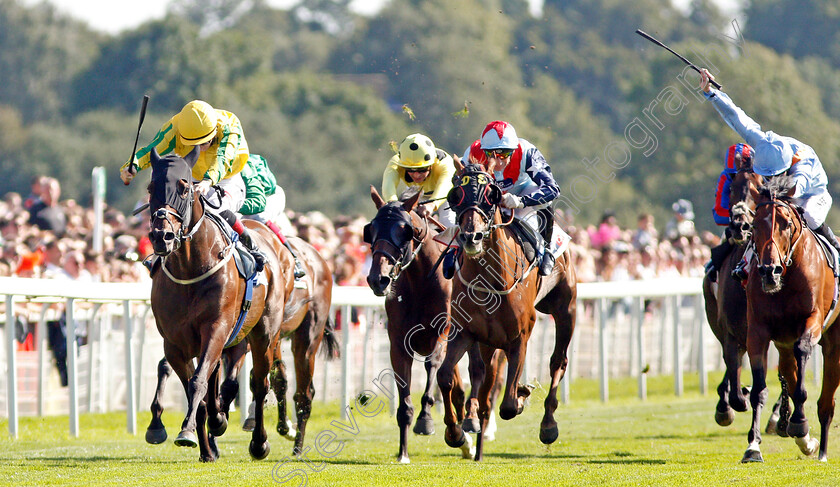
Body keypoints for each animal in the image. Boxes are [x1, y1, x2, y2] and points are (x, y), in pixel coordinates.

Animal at [146, 149, 336, 462]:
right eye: (151, 188)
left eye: (184, 188)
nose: (162, 236)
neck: (191, 269)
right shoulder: (174, 341)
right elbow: (190, 380)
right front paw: (198, 438)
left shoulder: (219, 328)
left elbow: (202, 381)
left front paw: (191, 431)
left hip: (287, 333)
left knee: (271, 384)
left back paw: (270, 442)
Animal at [364, 188, 482, 466]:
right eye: (371, 229)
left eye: (404, 230)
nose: (378, 279)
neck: (420, 281)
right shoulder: (398, 344)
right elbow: (405, 398)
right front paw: (403, 452)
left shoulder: (442, 333)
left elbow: (433, 372)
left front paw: (426, 421)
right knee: (456, 387)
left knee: (476, 372)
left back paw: (469, 423)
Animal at [436, 161, 576, 462]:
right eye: (455, 194)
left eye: (492, 195)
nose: (471, 237)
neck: (489, 279)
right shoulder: (464, 332)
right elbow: (446, 376)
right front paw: (456, 432)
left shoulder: (520, 336)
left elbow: (510, 404)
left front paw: (522, 393)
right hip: (488, 341)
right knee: (482, 376)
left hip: (565, 309)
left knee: (558, 361)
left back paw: (548, 425)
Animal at [740, 177, 840, 464]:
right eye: (755, 224)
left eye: (786, 223)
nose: (769, 270)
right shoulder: (758, 331)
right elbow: (759, 389)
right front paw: (753, 446)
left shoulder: (813, 320)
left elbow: (803, 353)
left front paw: (798, 423)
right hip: (783, 344)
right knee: (788, 370)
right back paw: (805, 439)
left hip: (834, 344)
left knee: (826, 401)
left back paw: (821, 450)